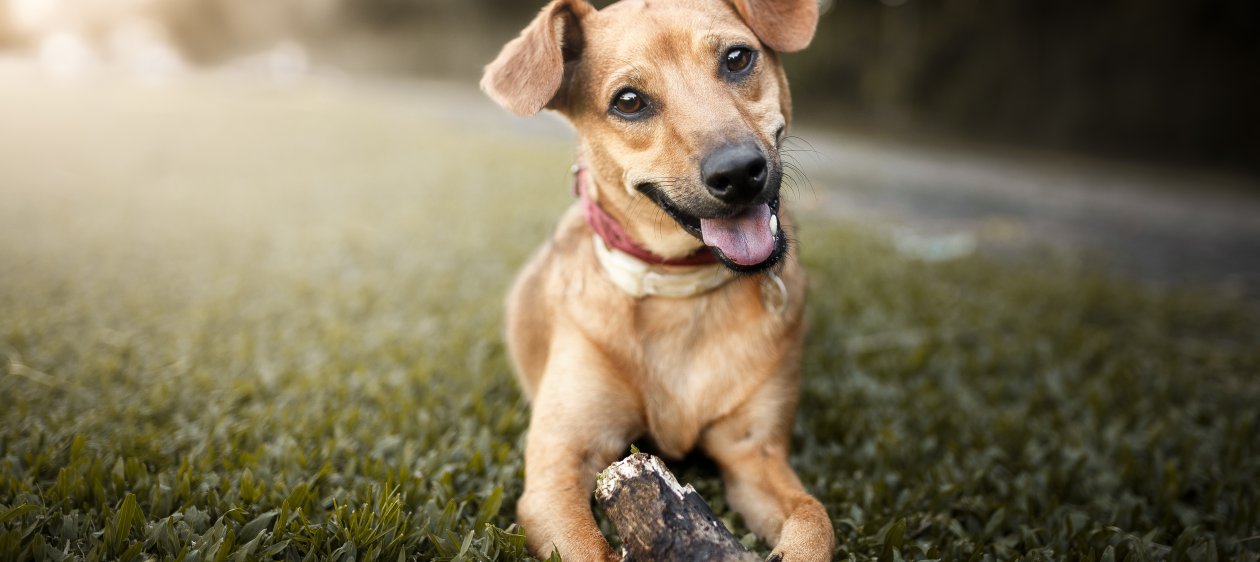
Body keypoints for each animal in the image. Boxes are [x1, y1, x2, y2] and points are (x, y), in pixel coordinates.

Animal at [478, 2, 826, 559]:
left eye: (737, 58)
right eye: (629, 101)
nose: (739, 172)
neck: (679, 289)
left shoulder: (754, 455)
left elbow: (814, 520)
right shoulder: (557, 470)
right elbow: (588, 548)